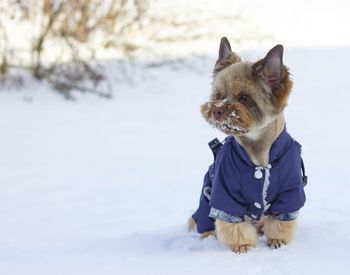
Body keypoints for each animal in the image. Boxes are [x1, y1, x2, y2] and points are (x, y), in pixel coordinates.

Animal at [189, 37, 306, 254]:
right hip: (205, 199)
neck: (258, 152)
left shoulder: (290, 192)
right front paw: (242, 244)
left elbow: (281, 221)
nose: (217, 110)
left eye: (244, 98)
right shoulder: (224, 192)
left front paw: (277, 240)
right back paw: (207, 235)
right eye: (218, 96)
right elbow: (233, 224)